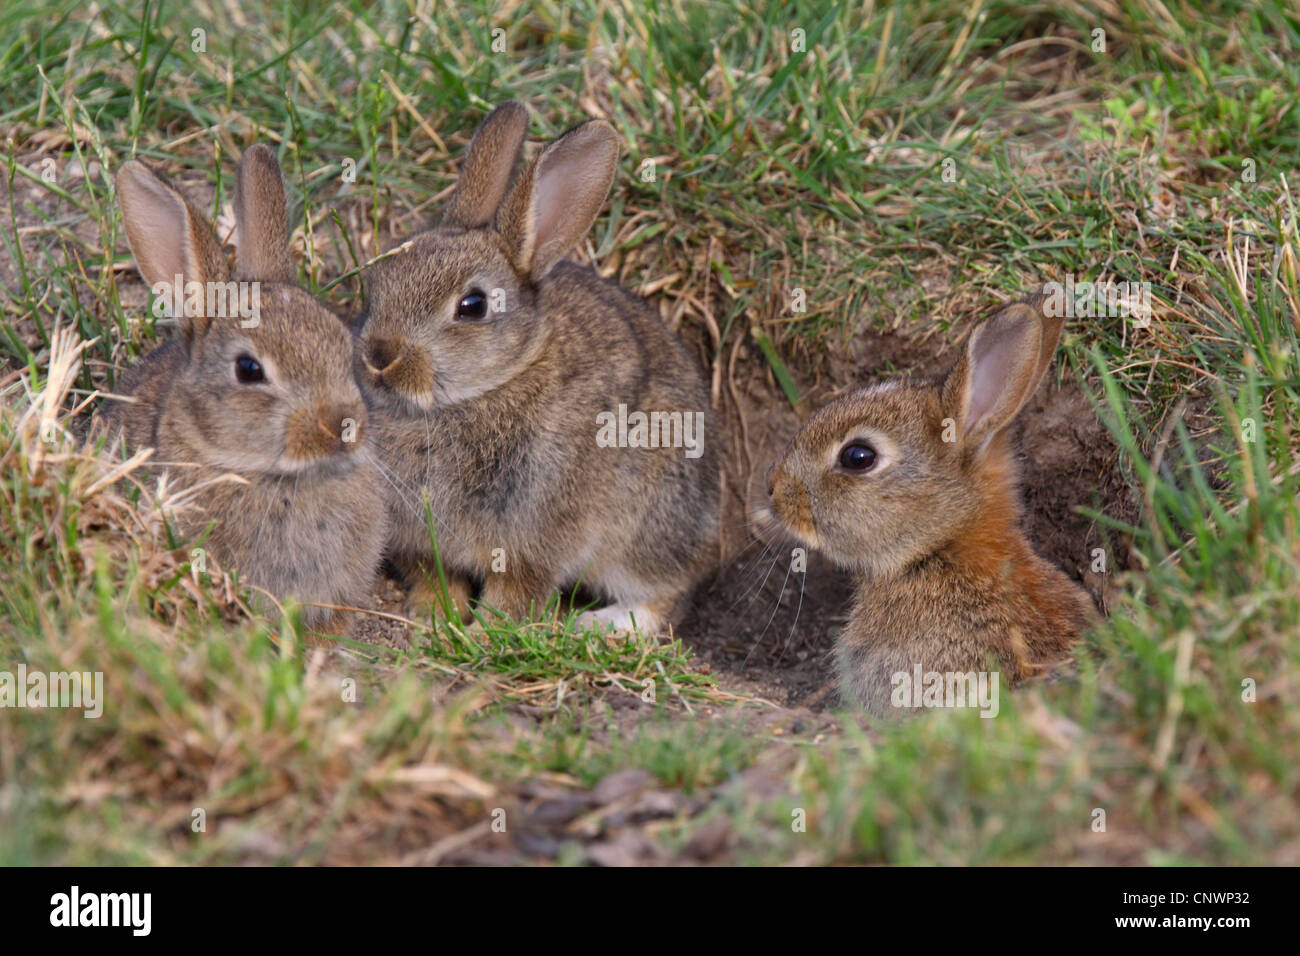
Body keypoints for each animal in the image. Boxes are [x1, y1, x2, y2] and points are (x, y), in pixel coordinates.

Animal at [356, 102, 722, 634]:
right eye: (377, 282)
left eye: (472, 305)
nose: (379, 357)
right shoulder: (420, 540)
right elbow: (433, 575)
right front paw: (432, 616)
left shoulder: (537, 535)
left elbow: (516, 593)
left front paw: (484, 633)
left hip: (647, 521)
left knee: (665, 596)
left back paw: (596, 626)